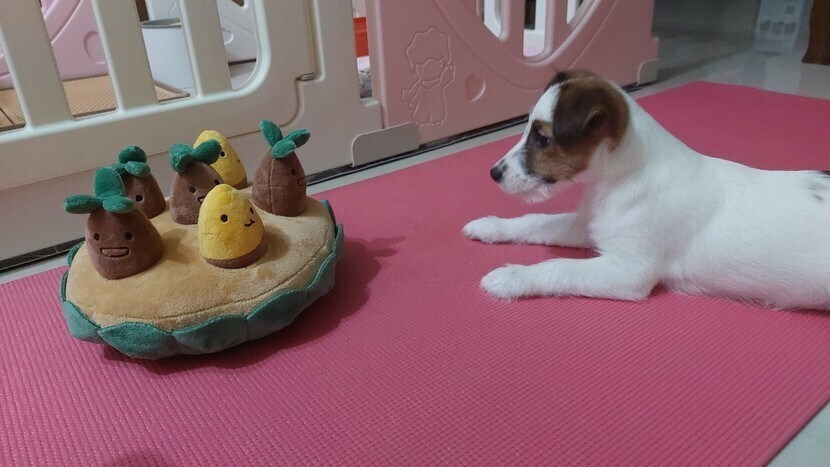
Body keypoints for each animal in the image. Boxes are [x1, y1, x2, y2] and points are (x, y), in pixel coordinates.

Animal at [463, 70, 830, 310]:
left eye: (542, 139)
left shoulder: (628, 270)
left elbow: (559, 267)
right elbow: (535, 221)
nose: (494, 173)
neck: (617, 182)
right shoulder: (586, 227)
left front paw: (511, 277)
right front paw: (491, 226)